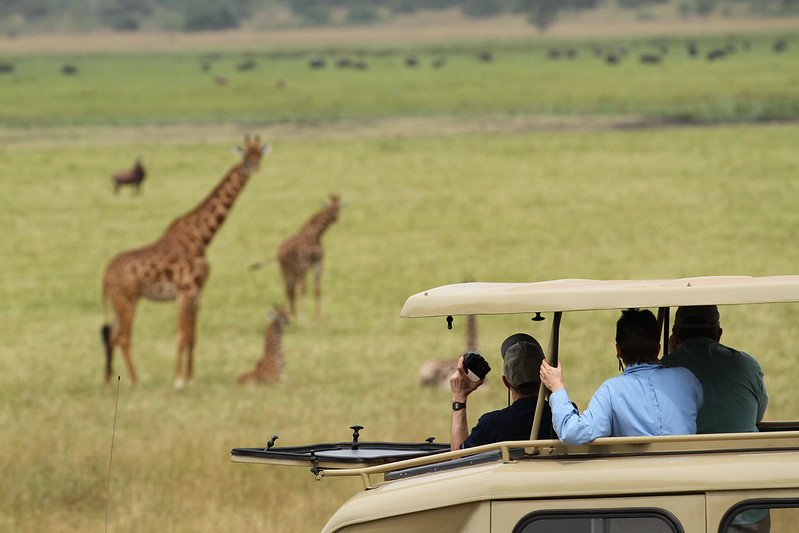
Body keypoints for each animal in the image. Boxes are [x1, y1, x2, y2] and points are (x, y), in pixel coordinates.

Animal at [100, 135, 271, 387]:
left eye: (260, 155)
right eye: (246, 157)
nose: (256, 168)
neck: (202, 239)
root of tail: (104, 276)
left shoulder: (197, 294)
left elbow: (193, 336)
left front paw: (191, 378)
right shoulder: (185, 292)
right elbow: (183, 335)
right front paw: (179, 380)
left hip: (118, 302)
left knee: (112, 336)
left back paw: (108, 381)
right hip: (127, 300)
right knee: (122, 337)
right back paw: (136, 381)